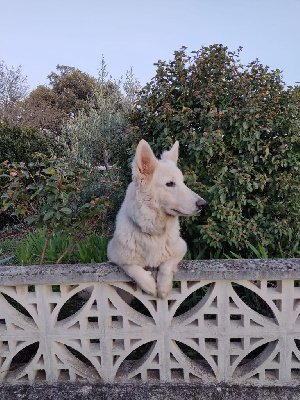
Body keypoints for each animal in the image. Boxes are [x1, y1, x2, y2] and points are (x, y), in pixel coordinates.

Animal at [106, 139, 207, 298]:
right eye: (170, 184)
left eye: (183, 182)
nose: (203, 204)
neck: (152, 231)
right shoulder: (113, 254)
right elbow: (131, 267)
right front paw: (149, 285)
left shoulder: (181, 248)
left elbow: (167, 265)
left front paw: (163, 287)